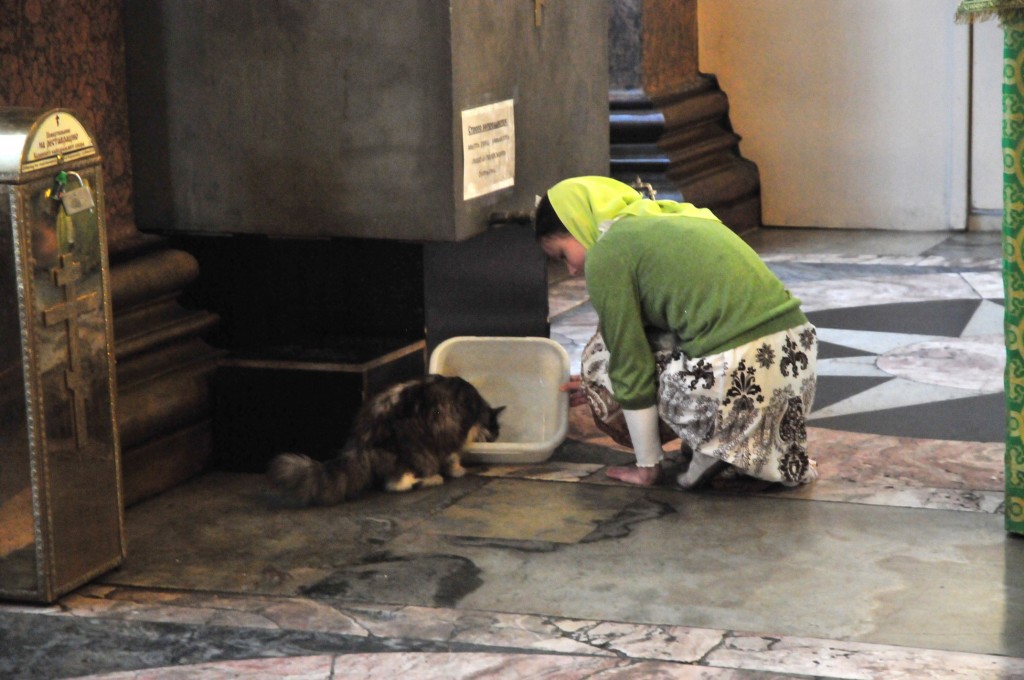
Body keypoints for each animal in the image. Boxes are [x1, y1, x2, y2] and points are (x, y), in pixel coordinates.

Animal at [266, 374, 501, 507]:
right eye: (495, 431)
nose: (495, 437)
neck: (476, 407)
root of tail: (361, 440)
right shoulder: (451, 437)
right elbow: (452, 457)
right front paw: (458, 470)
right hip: (415, 451)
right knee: (398, 483)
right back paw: (426, 480)